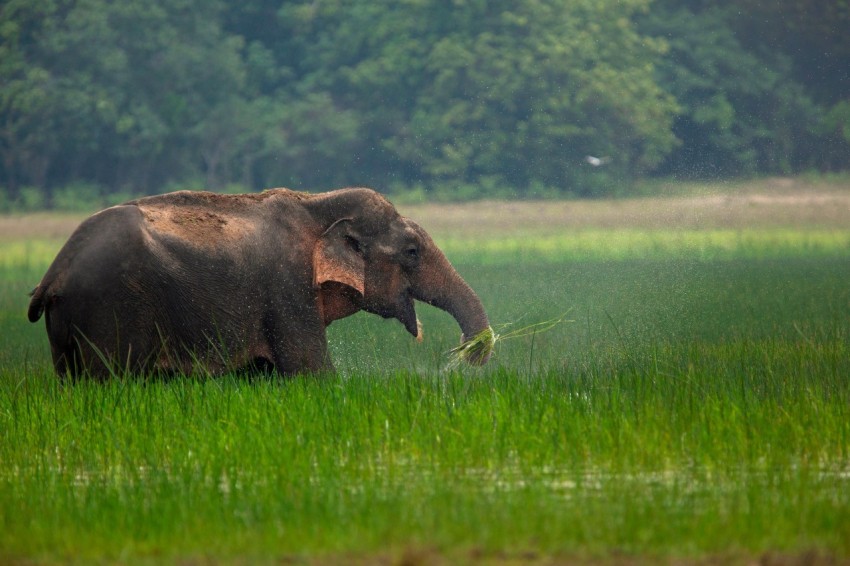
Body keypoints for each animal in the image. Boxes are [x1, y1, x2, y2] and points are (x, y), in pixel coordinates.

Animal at [28, 189, 490, 380]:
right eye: (412, 251)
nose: (470, 354)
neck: (315, 201)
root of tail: (54, 273)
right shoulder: (287, 289)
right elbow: (311, 371)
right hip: (110, 311)